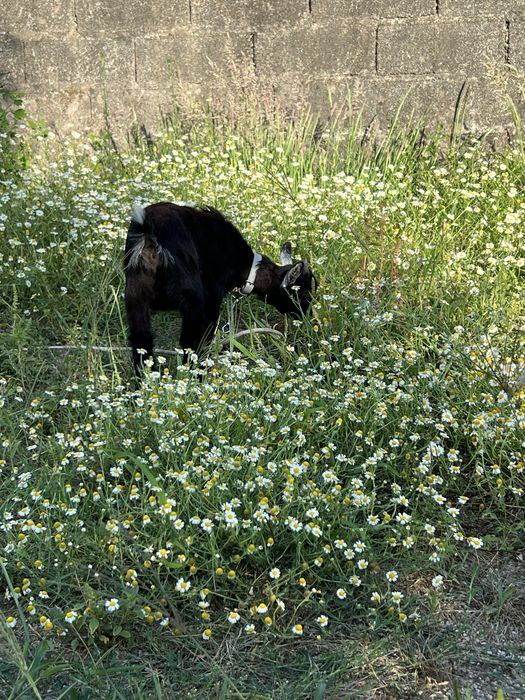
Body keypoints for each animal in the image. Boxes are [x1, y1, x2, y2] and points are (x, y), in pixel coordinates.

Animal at [124, 202, 316, 374]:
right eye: (304, 293)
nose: (308, 317)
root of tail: (150, 239)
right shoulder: (212, 296)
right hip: (192, 298)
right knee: (190, 341)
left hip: (135, 295)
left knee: (141, 341)